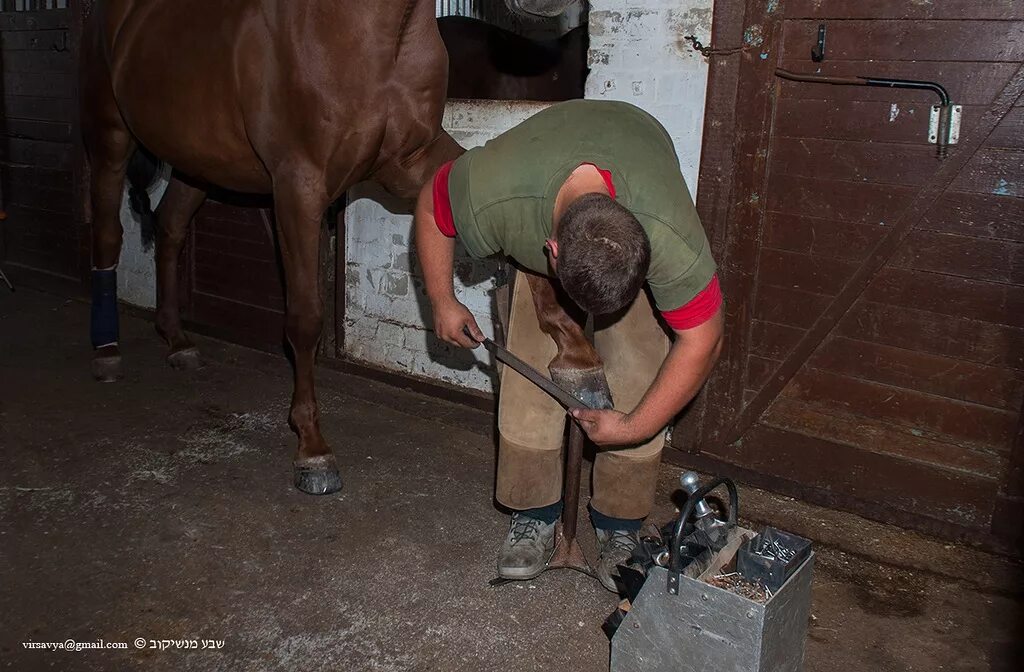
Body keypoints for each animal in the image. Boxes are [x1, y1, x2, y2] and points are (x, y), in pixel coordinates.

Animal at [82, 0, 460, 493]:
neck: (376, 35)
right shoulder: (298, 187)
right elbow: (305, 319)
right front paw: (312, 450)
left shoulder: (413, 163)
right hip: (110, 138)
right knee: (108, 237)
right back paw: (106, 352)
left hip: (197, 163)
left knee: (170, 228)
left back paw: (177, 340)